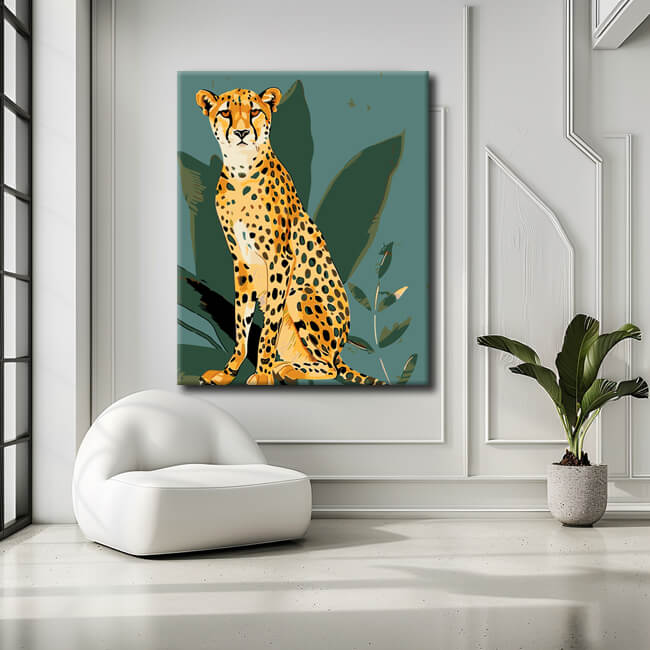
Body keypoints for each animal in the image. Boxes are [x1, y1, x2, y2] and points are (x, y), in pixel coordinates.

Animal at [195, 86, 384, 386]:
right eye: (225, 112)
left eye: (254, 111)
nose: (241, 132)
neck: (240, 171)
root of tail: (341, 349)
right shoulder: (242, 264)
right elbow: (241, 326)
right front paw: (228, 373)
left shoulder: (280, 261)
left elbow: (268, 327)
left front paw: (262, 375)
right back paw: (283, 365)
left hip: (301, 295)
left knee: (330, 367)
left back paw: (284, 368)